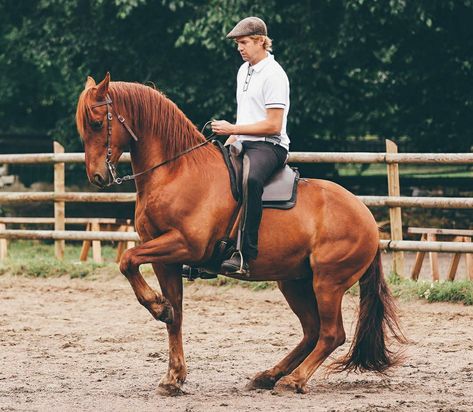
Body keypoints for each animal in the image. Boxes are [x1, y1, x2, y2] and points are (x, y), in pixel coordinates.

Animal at [76, 73, 402, 396]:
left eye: (97, 123)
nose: (97, 177)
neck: (175, 171)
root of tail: (366, 217)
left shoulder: (184, 245)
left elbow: (127, 260)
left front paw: (158, 308)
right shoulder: (163, 257)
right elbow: (175, 313)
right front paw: (173, 375)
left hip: (328, 283)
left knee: (331, 334)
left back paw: (293, 381)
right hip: (294, 281)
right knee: (311, 331)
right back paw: (269, 376)